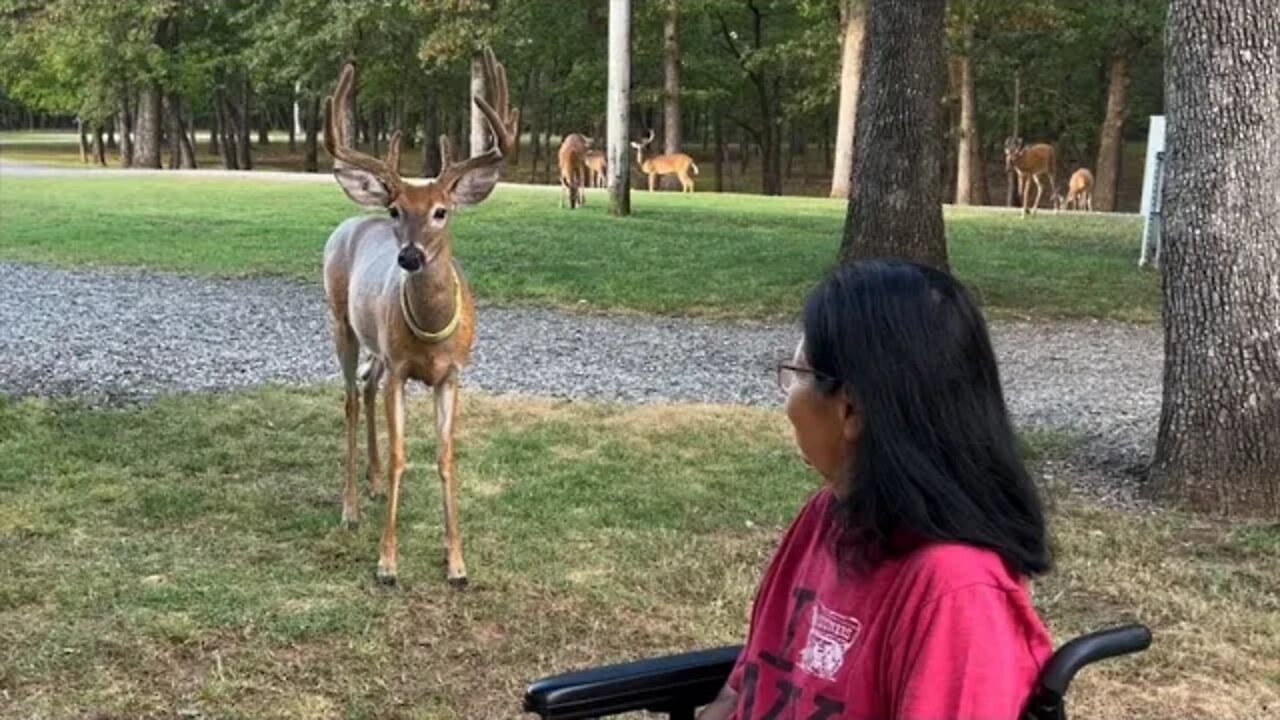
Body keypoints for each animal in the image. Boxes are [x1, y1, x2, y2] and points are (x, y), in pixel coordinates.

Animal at [322, 47, 517, 584]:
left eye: (441, 211)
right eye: (395, 210)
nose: (409, 257)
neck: (431, 336)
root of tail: (352, 219)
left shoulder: (451, 374)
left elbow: (446, 457)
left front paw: (457, 562)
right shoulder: (402, 370)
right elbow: (400, 456)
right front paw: (387, 563)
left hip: (378, 347)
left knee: (365, 385)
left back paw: (369, 486)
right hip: (341, 322)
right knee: (350, 398)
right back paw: (350, 507)